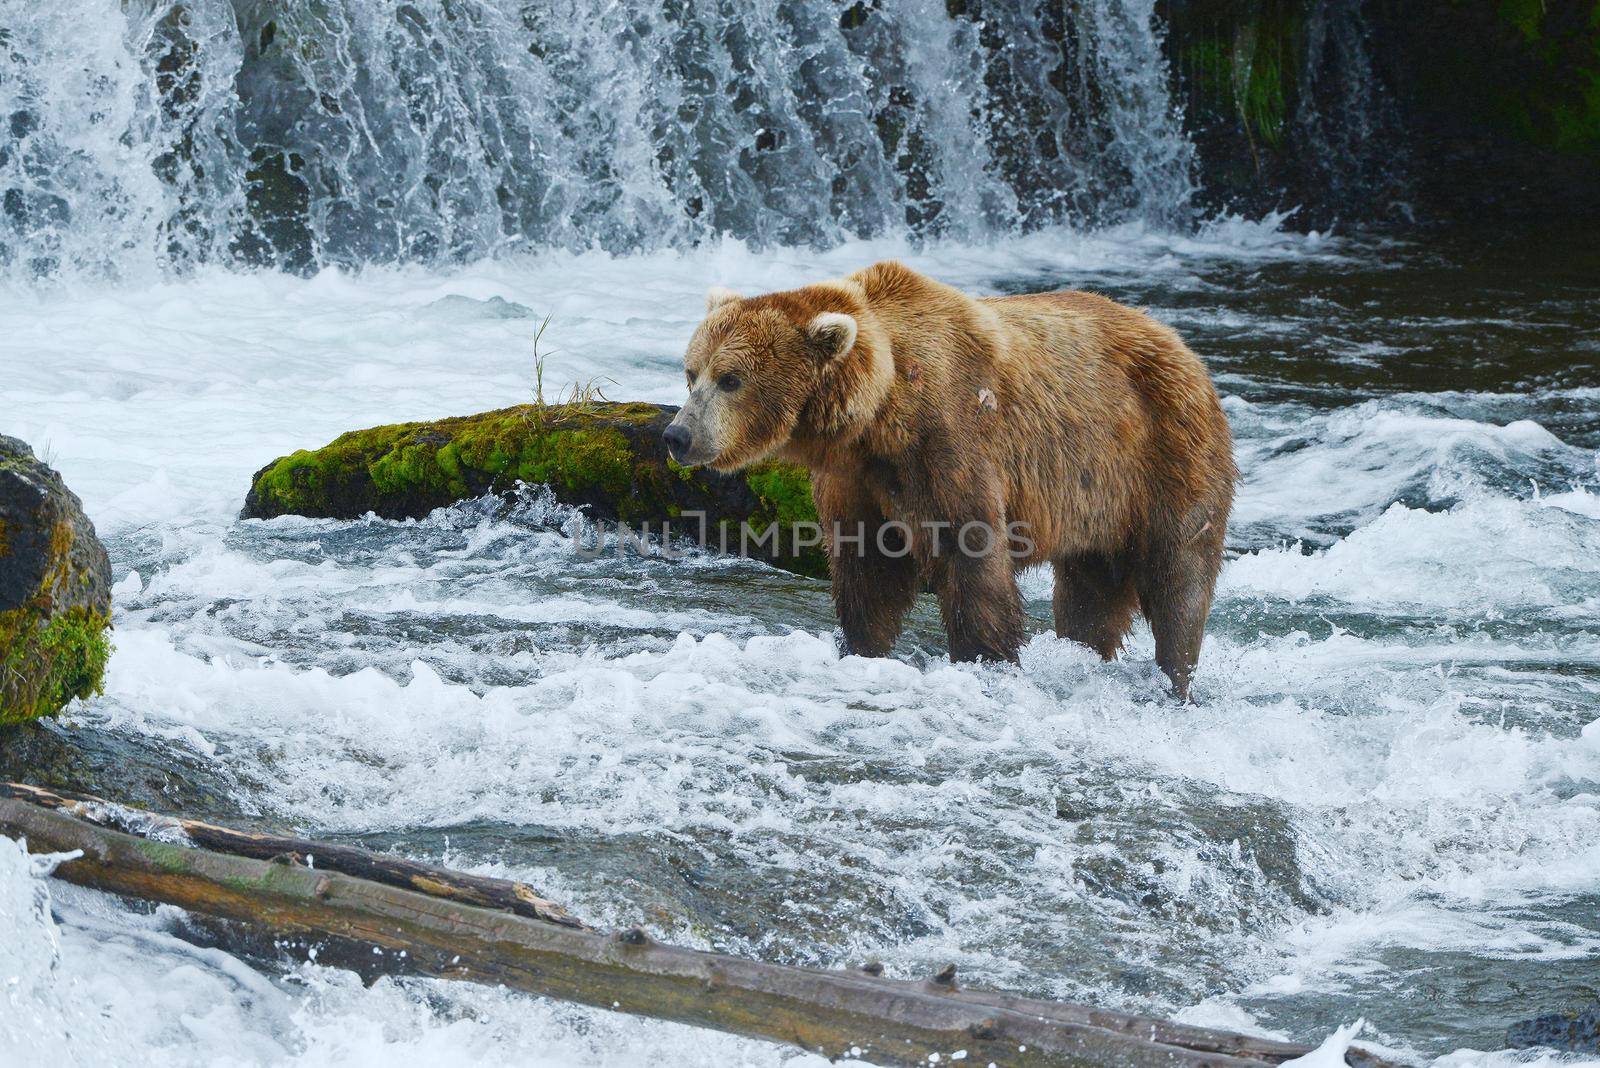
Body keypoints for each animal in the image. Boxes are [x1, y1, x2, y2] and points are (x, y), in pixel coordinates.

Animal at [662, 262, 1235, 700]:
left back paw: (1176, 680)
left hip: (1165, 454)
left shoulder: (949, 440)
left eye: (731, 378)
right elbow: (866, 568)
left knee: (1179, 576)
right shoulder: (857, 479)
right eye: (691, 372)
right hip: (1097, 503)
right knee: (1089, 594)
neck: (881, 412)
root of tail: (1183, 347)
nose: (677, 434)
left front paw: (987, 659)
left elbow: (972, 555)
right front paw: (861, 647)